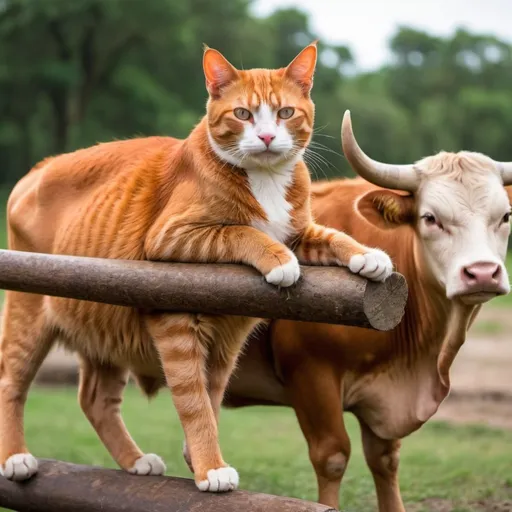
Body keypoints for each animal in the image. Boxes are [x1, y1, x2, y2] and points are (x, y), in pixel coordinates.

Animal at [0, 43, 392, 492]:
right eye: (242, 114)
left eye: (285, 113)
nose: (267, 137)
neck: (266, 179)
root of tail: (37, 167)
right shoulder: (171, 250)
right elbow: (240, 234)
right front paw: (210, 467)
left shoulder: (240, 316)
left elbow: (213, 393)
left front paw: (368, 255)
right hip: (29, 312)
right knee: (11, 379)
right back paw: (15, 458)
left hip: (106, 320)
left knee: (95, 398)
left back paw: (135, 461)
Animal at [222, 110, 512, 510]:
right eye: (430, 218)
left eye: (506, 216)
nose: (482, 273)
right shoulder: (311, 373)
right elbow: (332, 457)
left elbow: (385, 460)